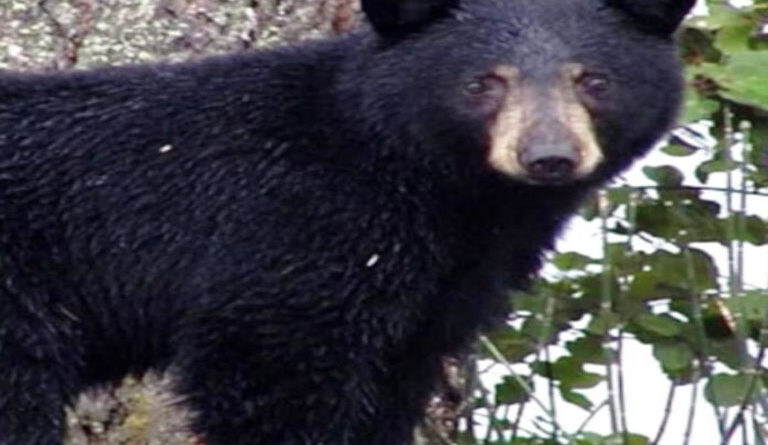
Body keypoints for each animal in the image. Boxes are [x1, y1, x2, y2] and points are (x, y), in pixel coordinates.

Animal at [0, 0, 696, 442]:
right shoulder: (299, 224)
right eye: (483, 83)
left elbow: (395, 381)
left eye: (593, 79)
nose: (548, 156)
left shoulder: (441, 295)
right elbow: (273, 362)